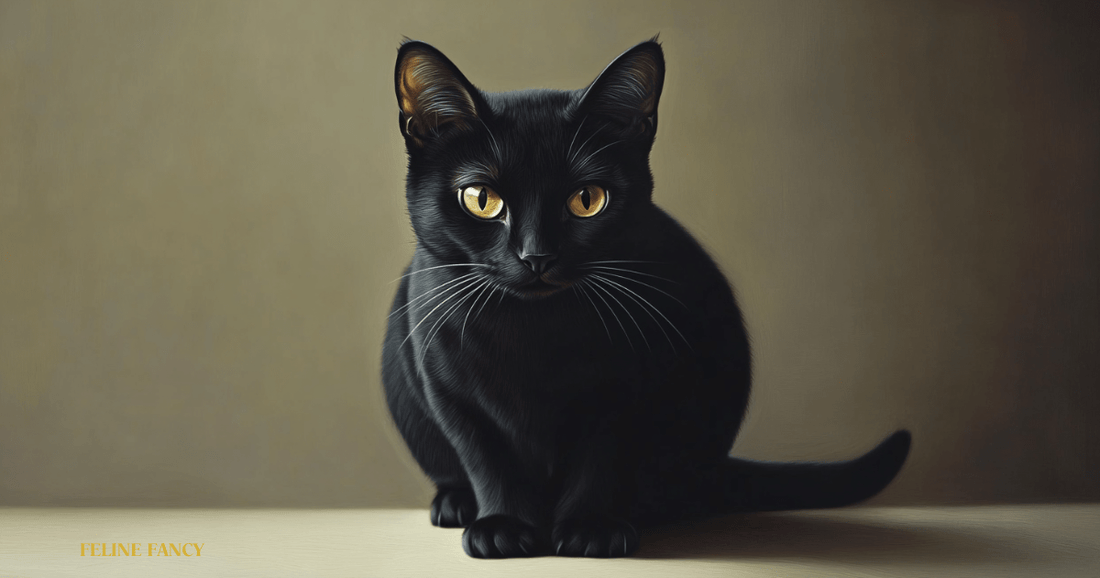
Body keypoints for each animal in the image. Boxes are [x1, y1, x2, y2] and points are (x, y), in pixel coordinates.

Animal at [382, 37, 915, 559]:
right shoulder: (450, 393)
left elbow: (601, 461)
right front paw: (504, 527)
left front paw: (591, 528)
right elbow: (488, 461)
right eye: (481, 199)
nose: (537, 255)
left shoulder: (630, 388)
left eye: (587, 200)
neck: (537, 334)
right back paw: (454, 504)